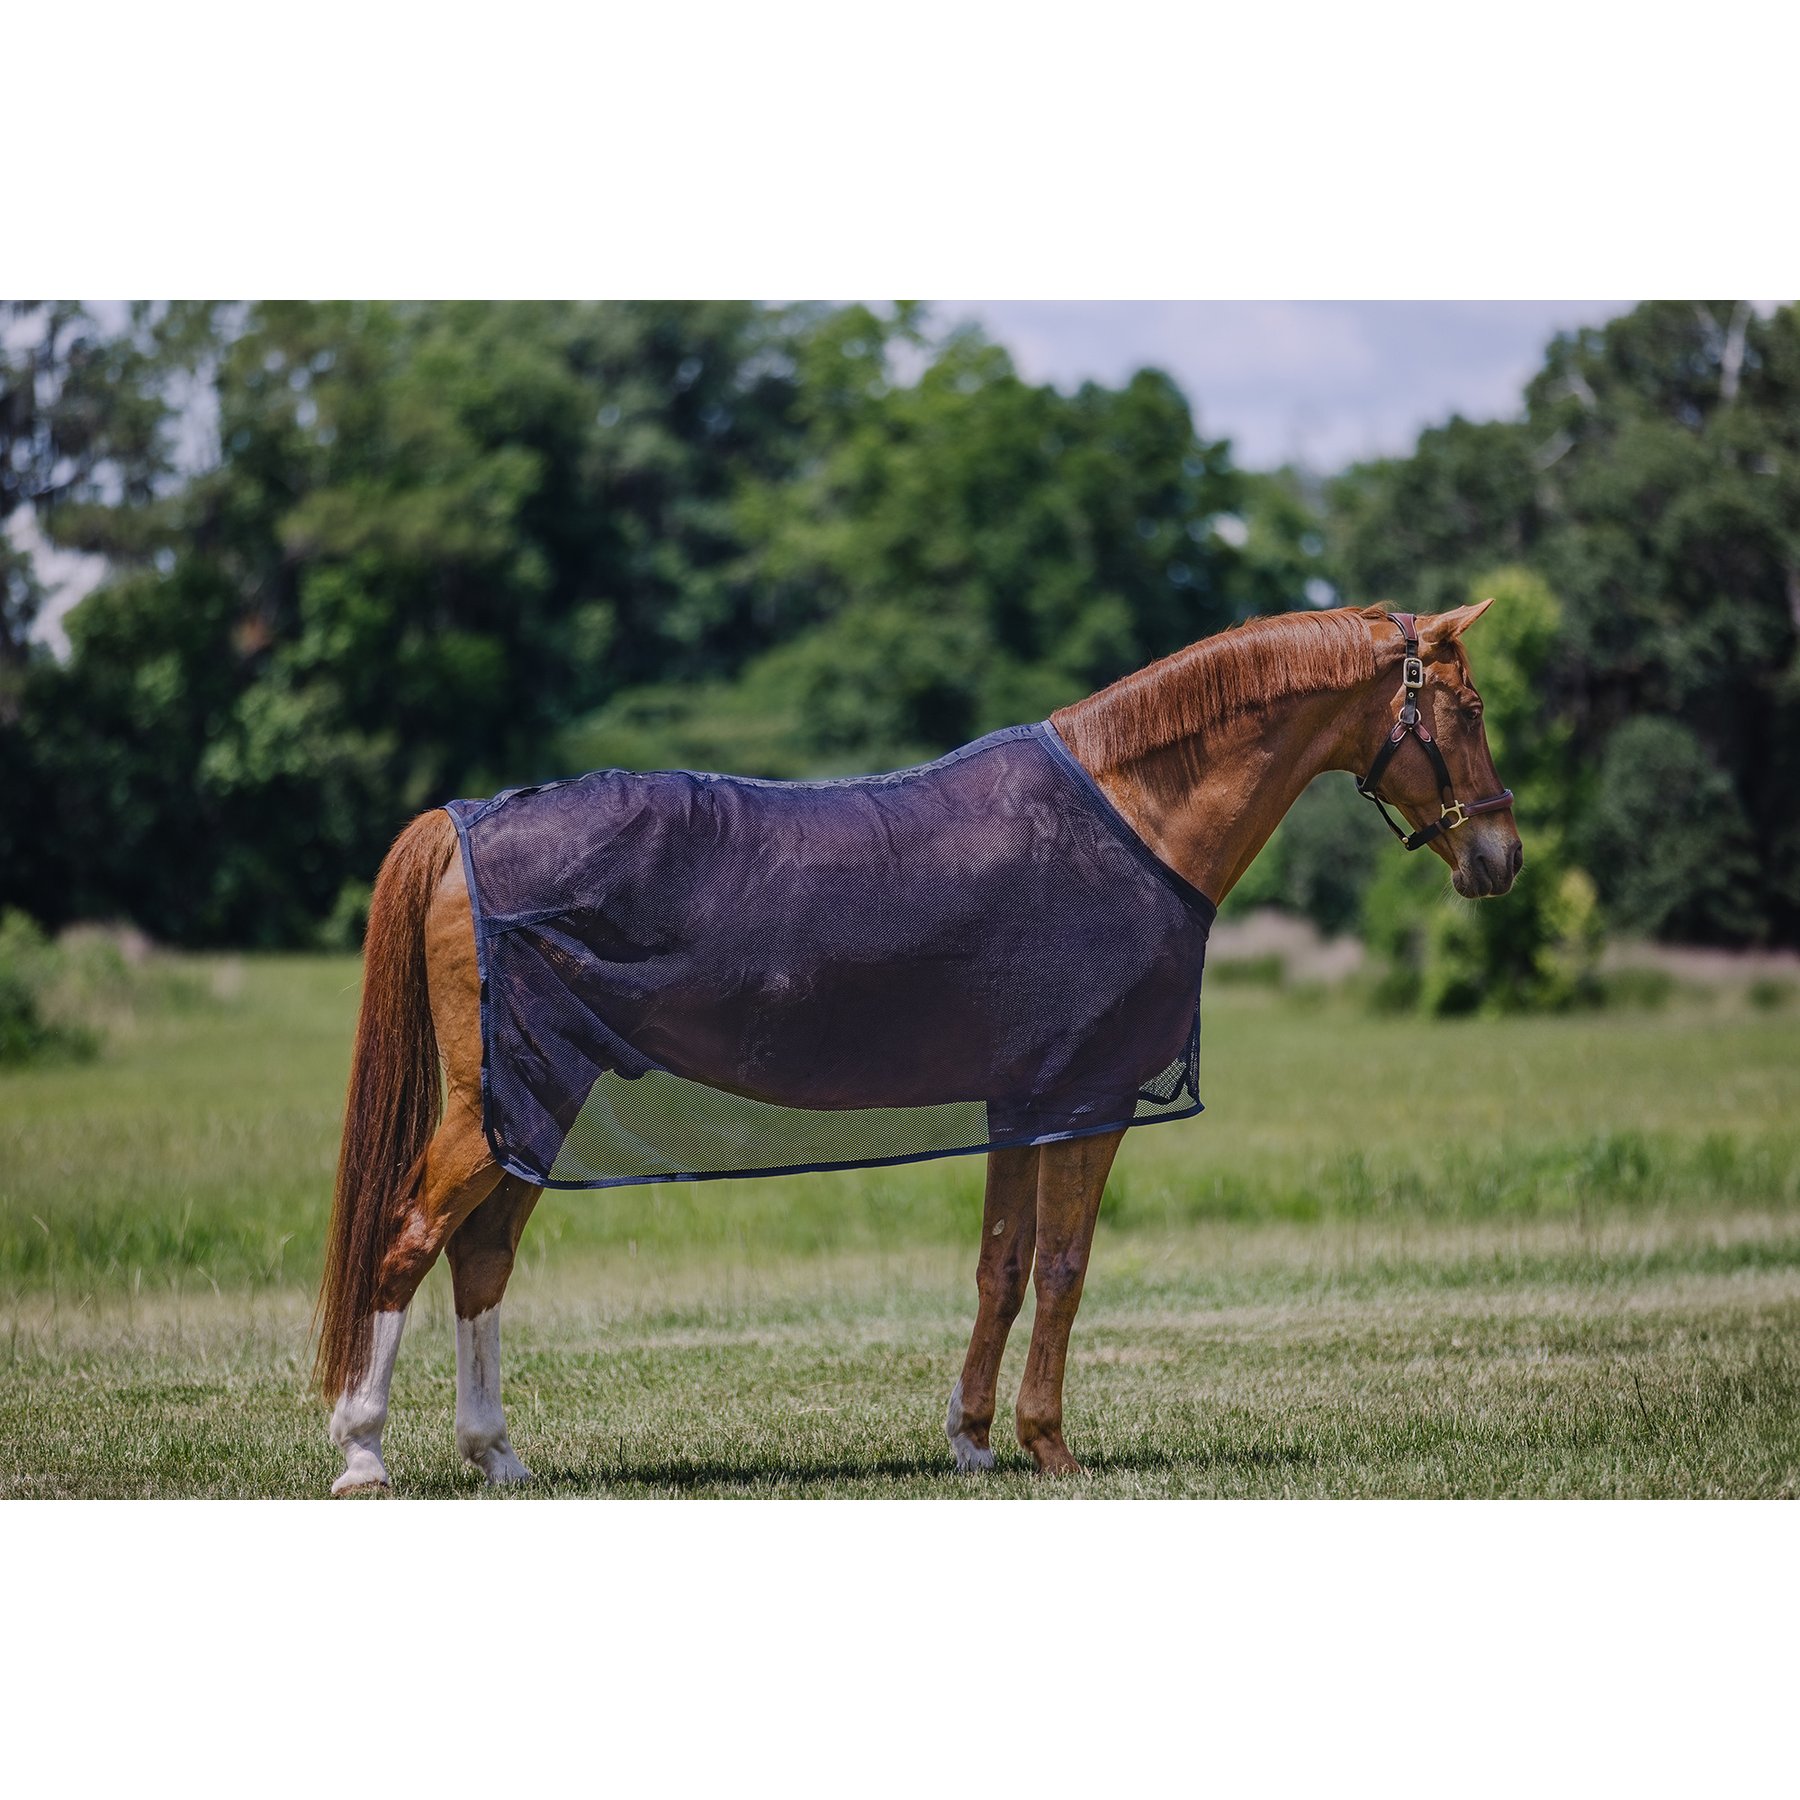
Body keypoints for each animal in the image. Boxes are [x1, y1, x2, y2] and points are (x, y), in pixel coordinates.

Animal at [314, 600, 1520, 1492]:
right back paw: (365, 1453)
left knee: (482, 1256)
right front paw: (1050, 1446)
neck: (1130, 815)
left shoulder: (1023, 1101)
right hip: (502, 1102)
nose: (1501, 856)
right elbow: (1066, 1265)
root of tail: (462, 823)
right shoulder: (1091, 1097)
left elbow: (1002, 1264)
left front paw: (972, 1438)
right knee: (411, 1235)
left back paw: (497, 1457)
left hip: (534, 1097)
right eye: (1464, 706)